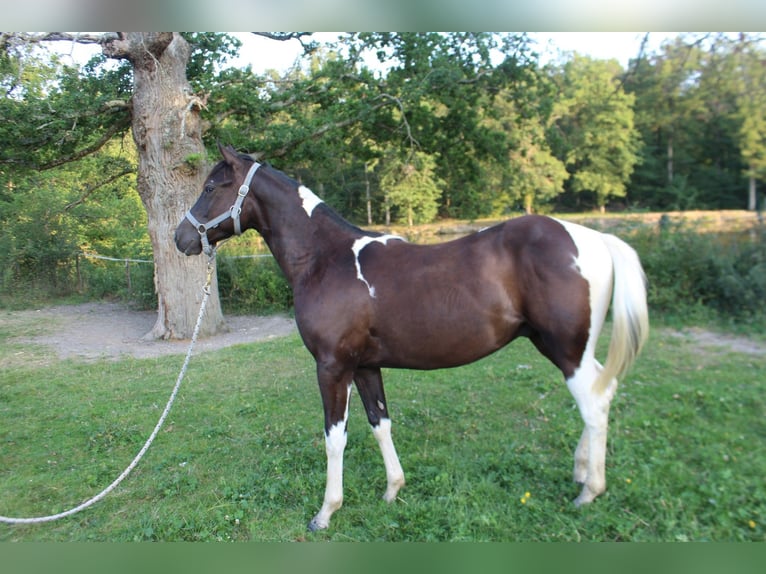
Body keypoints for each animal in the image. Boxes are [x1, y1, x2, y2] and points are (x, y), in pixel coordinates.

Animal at [175, 144, 649, 531]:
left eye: (212, 186)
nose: (180, 238)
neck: (326, 259)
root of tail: (593, 238)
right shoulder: (365, 366)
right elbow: (380, 424)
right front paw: (393, 489)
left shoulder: (332, 367)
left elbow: (334, 438)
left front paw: (326, 512)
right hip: (567, 348)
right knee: (602, 392)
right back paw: (581, 471)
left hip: (566, 349)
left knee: (593, 404)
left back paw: (589, 490)